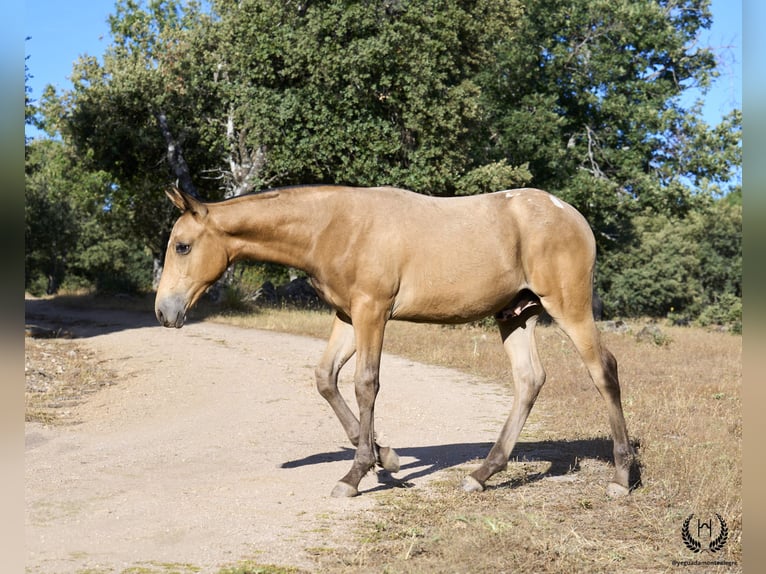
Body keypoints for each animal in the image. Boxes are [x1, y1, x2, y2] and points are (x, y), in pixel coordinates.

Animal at [156, 186, 636, 500]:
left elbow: (365, 384)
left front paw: (354, 476)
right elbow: (326, 379)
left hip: (569, 307)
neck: (332, 226)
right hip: (516, 316)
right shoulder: (347, 316)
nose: (164, 312)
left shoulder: (372, 311)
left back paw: (621, 476)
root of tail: (572, 215)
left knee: (604, 370)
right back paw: (482, 474)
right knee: (529, 380)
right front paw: (386, 457)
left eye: (182, 246)